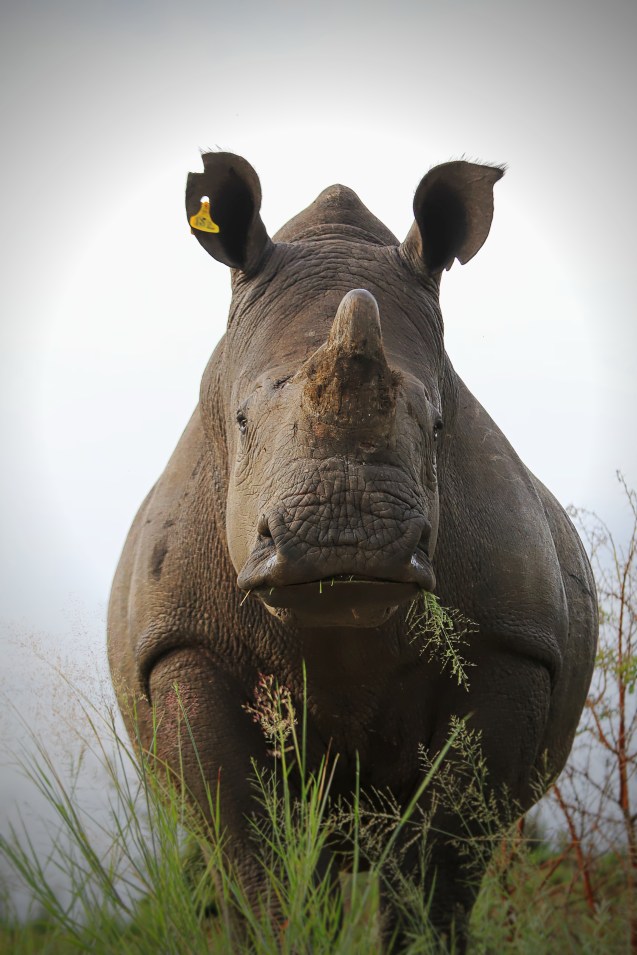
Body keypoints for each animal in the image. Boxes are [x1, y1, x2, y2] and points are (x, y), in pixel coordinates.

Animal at [108, 152, 597, 950]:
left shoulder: (512, 645)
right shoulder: (179, 643)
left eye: (438, 424)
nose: (345, 539)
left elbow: (440, 864)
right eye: (241, 421)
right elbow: (252, 854)